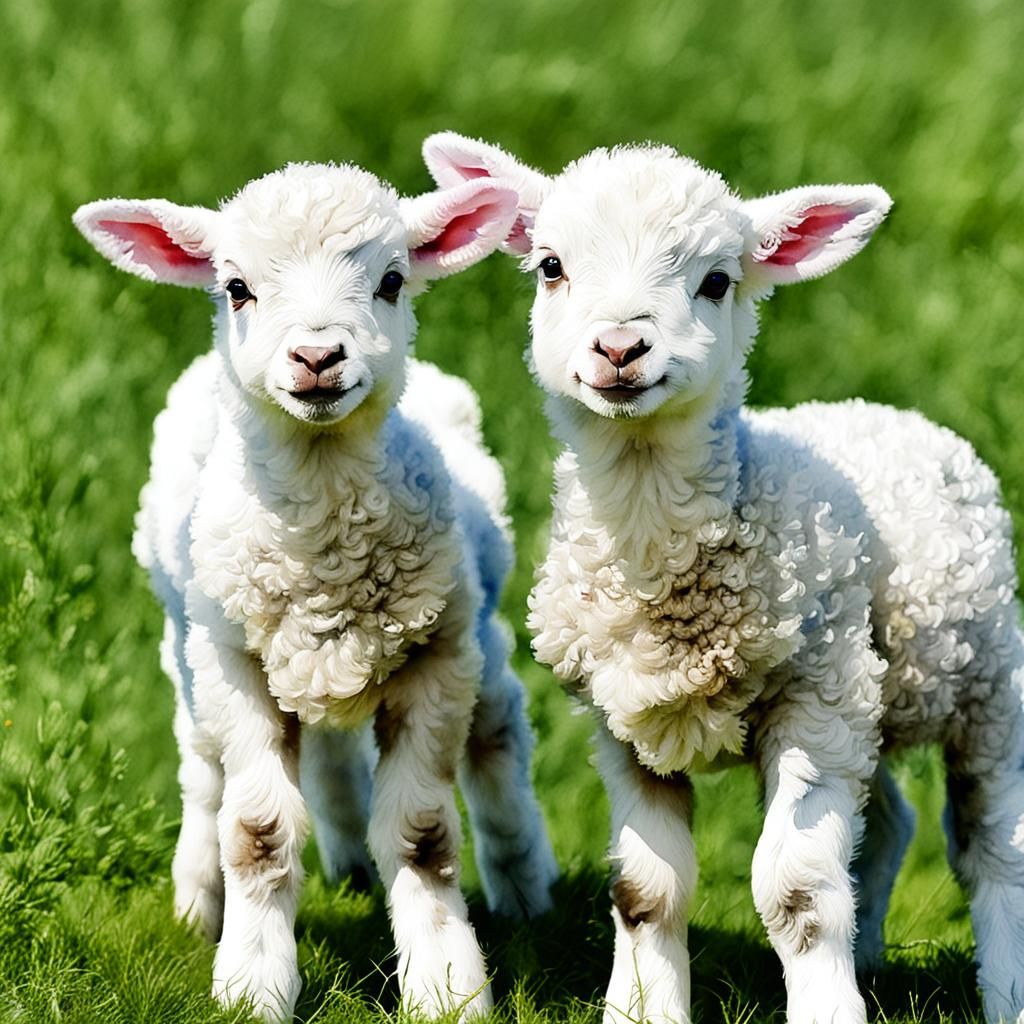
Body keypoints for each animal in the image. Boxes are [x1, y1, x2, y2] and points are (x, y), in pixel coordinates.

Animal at [73, 161, 558, 1022]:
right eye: (235, 288)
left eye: (392, 280)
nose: (317, 356)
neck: (325, 558)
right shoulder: (234, 665)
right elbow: (257, 829)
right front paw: (251, 984)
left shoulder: (436, 659)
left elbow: (421, 833)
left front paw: (447, 984)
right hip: (191, 646)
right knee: (215, 770)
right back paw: (208, 896)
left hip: (475, 619)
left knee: (496, 729)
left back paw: (522, 882)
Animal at [421, 133, 1024, 1024]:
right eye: (551, 267)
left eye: (715, 281)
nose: (620, 349)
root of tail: (889, 413)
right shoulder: (622, 720)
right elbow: (646, 892)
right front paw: (642, 1008)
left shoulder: (813, 698)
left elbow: (799, 892)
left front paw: (827, 1008)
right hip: (869, 693)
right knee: (888, 824)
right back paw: (870, 956)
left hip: (978, 682)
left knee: (992, 846)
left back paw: (1005, 988)